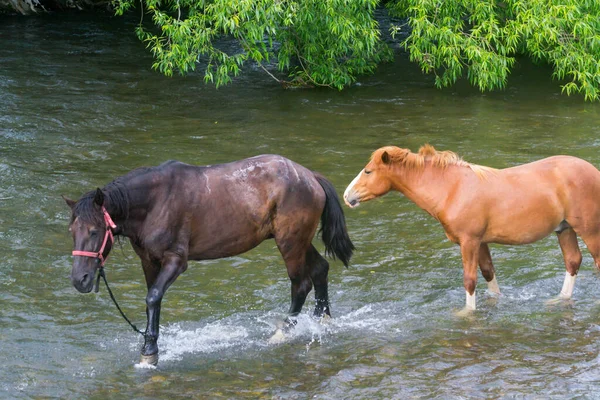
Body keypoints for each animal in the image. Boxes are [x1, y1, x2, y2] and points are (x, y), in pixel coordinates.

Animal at [64, 155, 356, 364]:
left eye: (94, 231)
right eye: (72, 231)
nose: (80, 280)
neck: (155, 202)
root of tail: (310, 176)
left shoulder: (175, 260)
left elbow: (153, 297)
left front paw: (149, 351)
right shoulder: (148, 261)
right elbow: (152, 300)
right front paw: (150, 343)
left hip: (290, 243)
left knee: (300, 284)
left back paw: (283, 332)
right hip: (299, 242)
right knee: (320, 270)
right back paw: (321, 320)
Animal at [344, 144, 600, 312]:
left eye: (368, 171)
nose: (347, 196)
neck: (451, 188)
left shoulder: (469, 242)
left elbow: (469, 280)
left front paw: (467, 314)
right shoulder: (482, 242)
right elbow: (488, 274)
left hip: (589, 231)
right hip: (565, 229)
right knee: (573, 261)